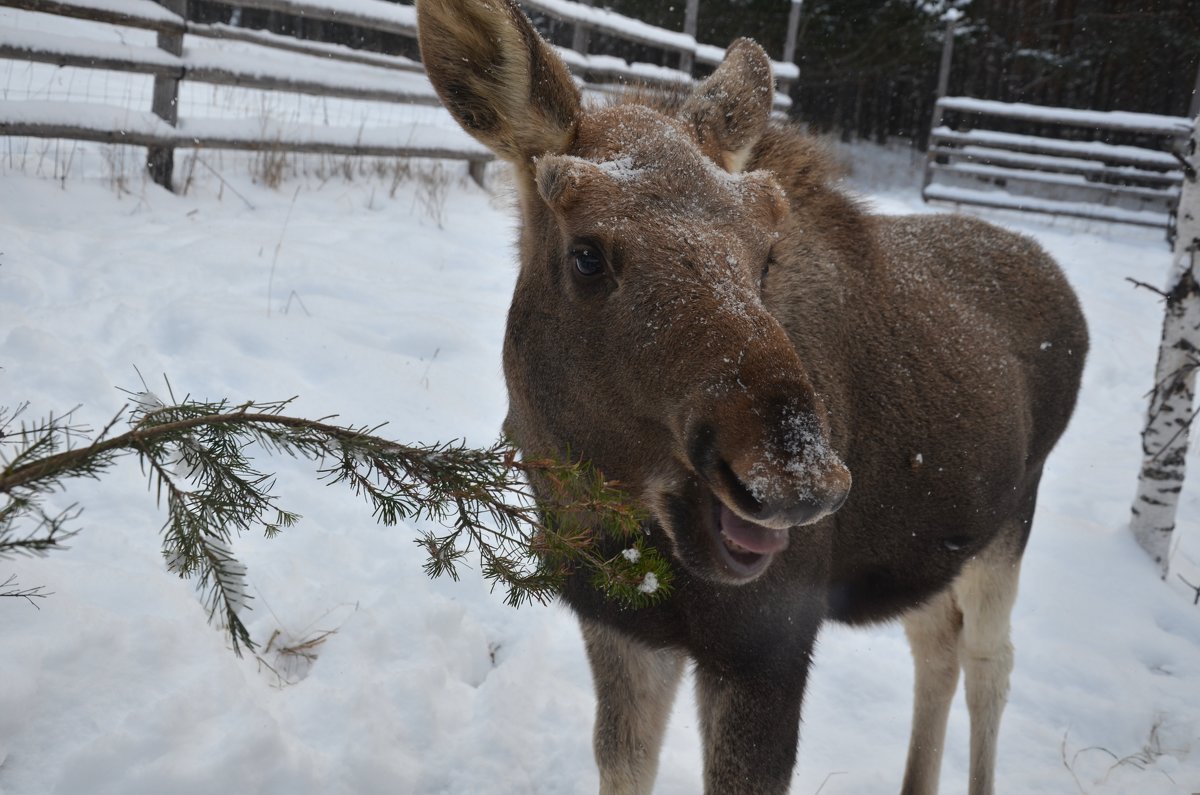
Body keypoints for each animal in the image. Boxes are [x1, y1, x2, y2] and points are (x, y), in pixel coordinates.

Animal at [417, 3, 1094, 792]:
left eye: (766, 254)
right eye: (586, 255)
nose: (796, 476)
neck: (607, 523)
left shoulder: (767, 647)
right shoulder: (621, 626)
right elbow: (622, 760)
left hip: (1010, 524)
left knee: (991, 661)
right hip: (935, 545)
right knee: (936, 645)